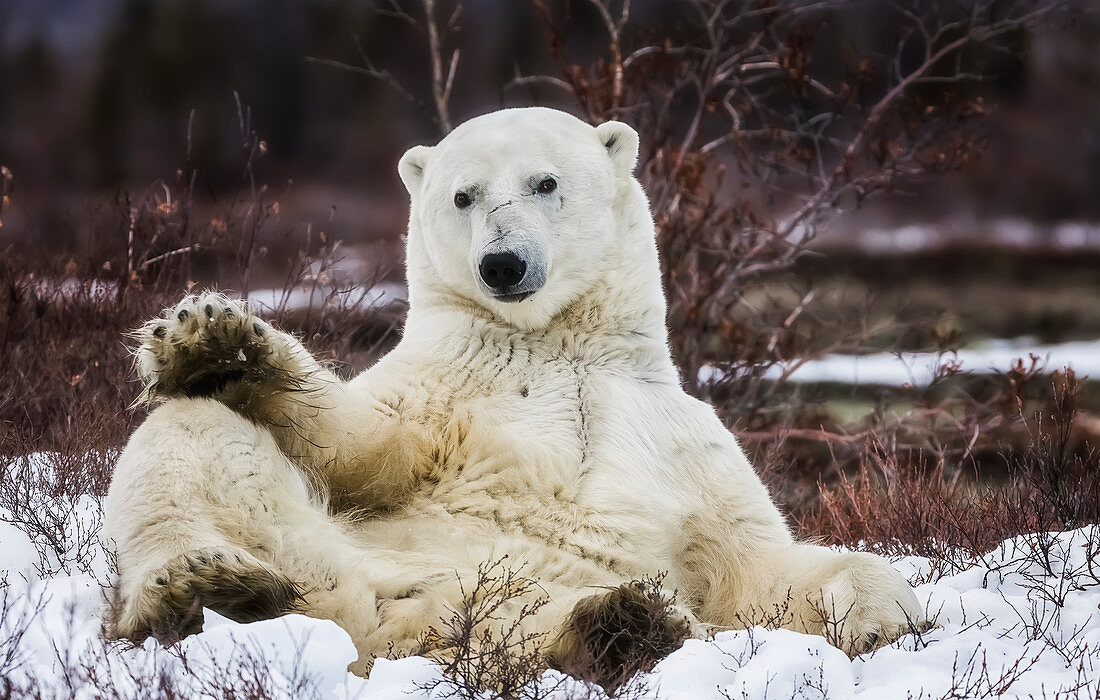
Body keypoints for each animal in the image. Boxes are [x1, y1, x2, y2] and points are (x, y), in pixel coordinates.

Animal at [105, 106, 928, 673]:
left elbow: (753, 560)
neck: (551, 344)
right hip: (325, 550)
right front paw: (208, 342)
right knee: (189, 440)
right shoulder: (446, 392)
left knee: (525, 628)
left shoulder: (672, 436)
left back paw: (624, 625)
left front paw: (876, 620)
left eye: (545, 182)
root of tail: (374, 626)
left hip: (494, 600)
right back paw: (198, 584)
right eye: (463, 196)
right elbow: (355, 442)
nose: (501, 264)